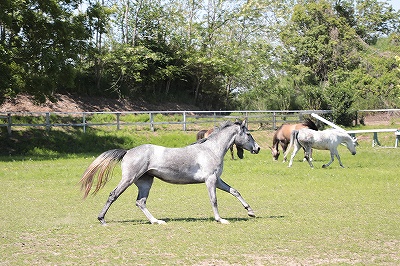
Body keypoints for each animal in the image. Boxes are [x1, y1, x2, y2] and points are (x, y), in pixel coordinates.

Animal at [79, 120, 260, 224]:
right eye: (249, 134)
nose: (257, 148)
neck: (211, 150)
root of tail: (128, 151)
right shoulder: (210, 180)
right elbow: (214, 200)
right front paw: (220, 219)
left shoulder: (217, 180)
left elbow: (235, 191)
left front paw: (250, 211)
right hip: (129, 179)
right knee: (113, 195)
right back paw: (102, 219)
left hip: (145, 182)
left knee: (140, 202)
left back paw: (156, 221)